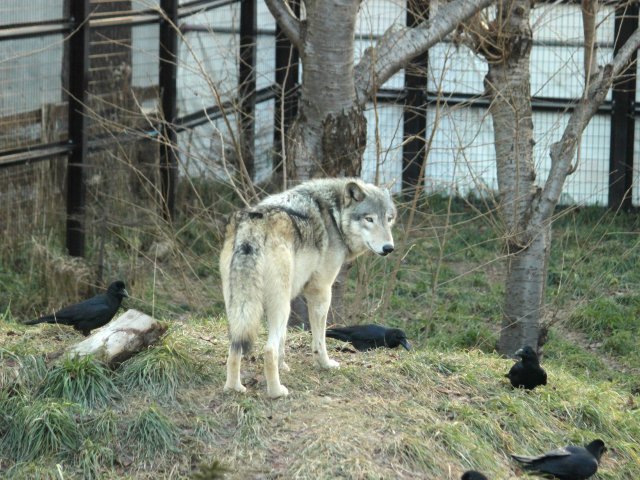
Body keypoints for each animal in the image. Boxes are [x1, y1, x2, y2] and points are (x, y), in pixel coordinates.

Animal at [220, 177, 396, 398]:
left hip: (242, 307)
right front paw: (325, 364)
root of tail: (252, 225)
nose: (389, 248)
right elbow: (319, 339)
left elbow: (283, 339)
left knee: (235, 346)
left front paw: (284, 366)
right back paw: (277, 392)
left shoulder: (293, 294)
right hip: (279, 306)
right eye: (369, 219)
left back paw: (234, 388)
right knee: (268, 350)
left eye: (388, 219)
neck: (335, 216)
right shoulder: (321, 290)